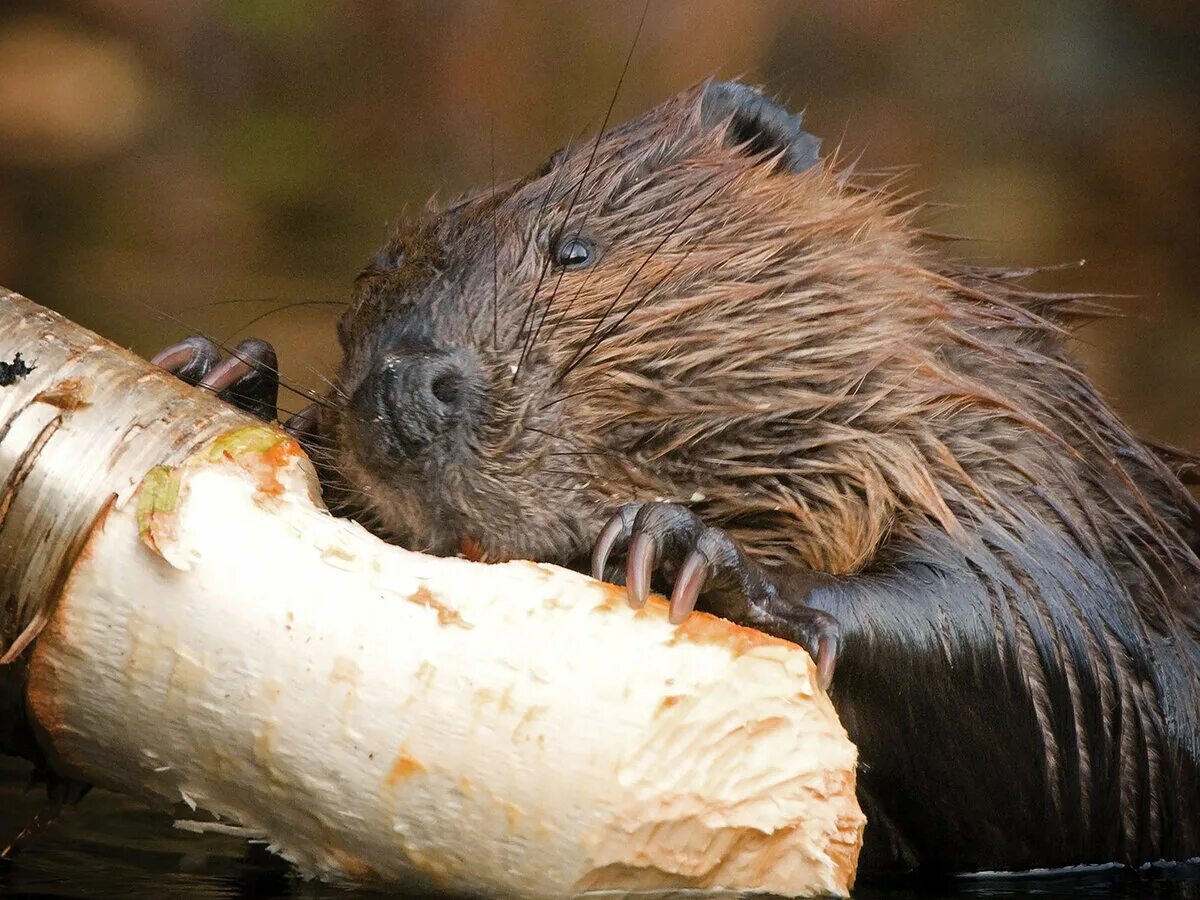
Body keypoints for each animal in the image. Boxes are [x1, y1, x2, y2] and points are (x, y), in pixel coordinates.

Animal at [154, 81, 1195, 878]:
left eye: (574, 248)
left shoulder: (1019, 474)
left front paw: (689, 552)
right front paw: (227, 377)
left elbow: (1055, 656)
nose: (405, 390)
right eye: (369, 284)